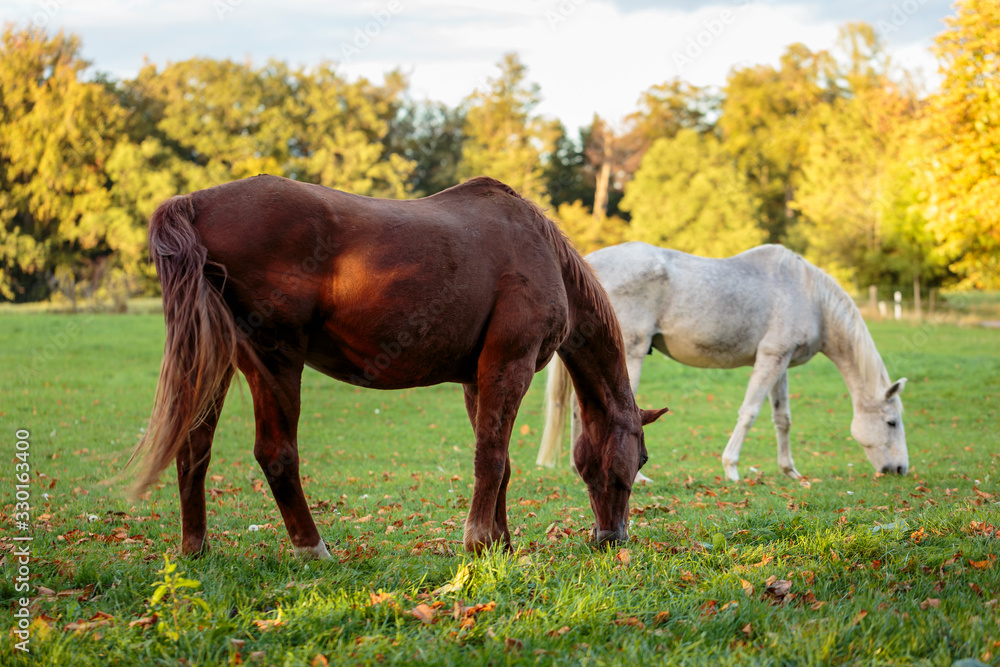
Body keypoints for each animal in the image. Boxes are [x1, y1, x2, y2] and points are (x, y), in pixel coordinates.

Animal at [129, 175, 667, 558]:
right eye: (641, 459)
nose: (612, 539)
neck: (540, 249)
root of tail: (196, 204)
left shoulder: (478, 380)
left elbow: (500, 461)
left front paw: (501, 541)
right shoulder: (508, 366)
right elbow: (491, 458)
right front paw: (479, 542)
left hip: (214, 364)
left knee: (193, 449)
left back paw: (196, 548)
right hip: (275, 361)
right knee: (276, 454)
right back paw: (314, 549)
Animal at [537, 241, 908, 482]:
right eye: (891, 423)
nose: (900, 469)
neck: (808, 295)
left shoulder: (781, 363)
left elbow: (782, 418)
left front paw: (789, 470)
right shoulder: (770, 360)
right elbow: (750, 412)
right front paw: (731, 467)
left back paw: (578, 468)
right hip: (628, 354)